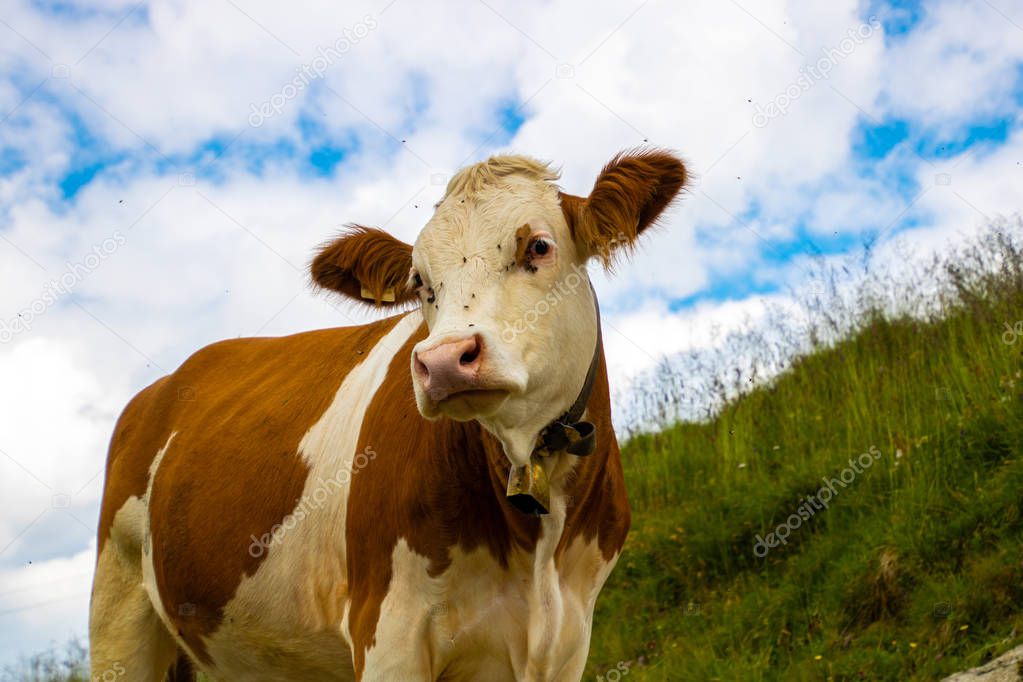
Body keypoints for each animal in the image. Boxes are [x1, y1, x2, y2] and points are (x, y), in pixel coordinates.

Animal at [90, 149, 687, 682]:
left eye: (538, 246)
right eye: (420, 282)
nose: (444, 361)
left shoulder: (567, 638)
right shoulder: (389, 631)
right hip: (118, 613)